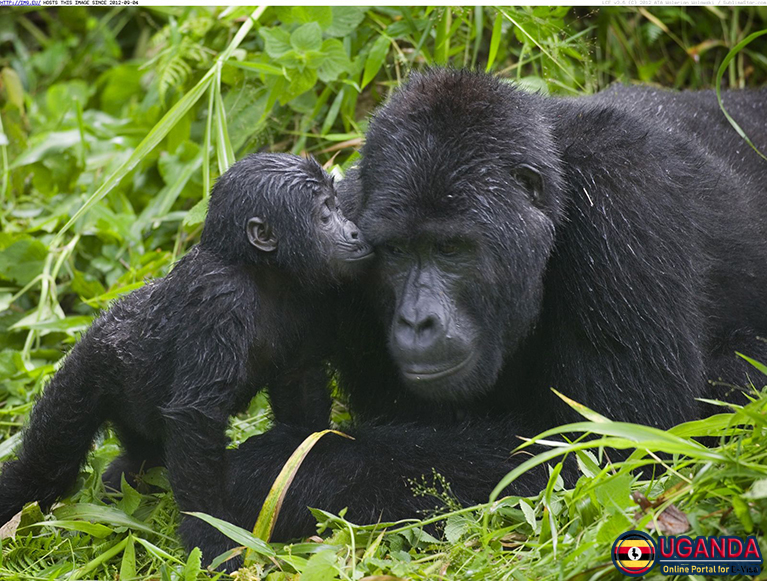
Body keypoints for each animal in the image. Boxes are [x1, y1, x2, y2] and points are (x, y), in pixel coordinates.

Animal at [0, 153, 374, 560]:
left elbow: (300, 385)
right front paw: (211, 534)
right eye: (325, 214)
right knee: (50, 458)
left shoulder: (310, 299)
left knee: (140, 458)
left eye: (338, 206)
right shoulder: (219, 301)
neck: (258, 270)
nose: (355, 232)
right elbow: (196, 417)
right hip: (88, 368)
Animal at [183, 70, 764, 556]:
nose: (417, 321)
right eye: (395, 252)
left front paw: (282, 470)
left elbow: (618, 447)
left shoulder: (626, 199)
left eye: (451, 249)